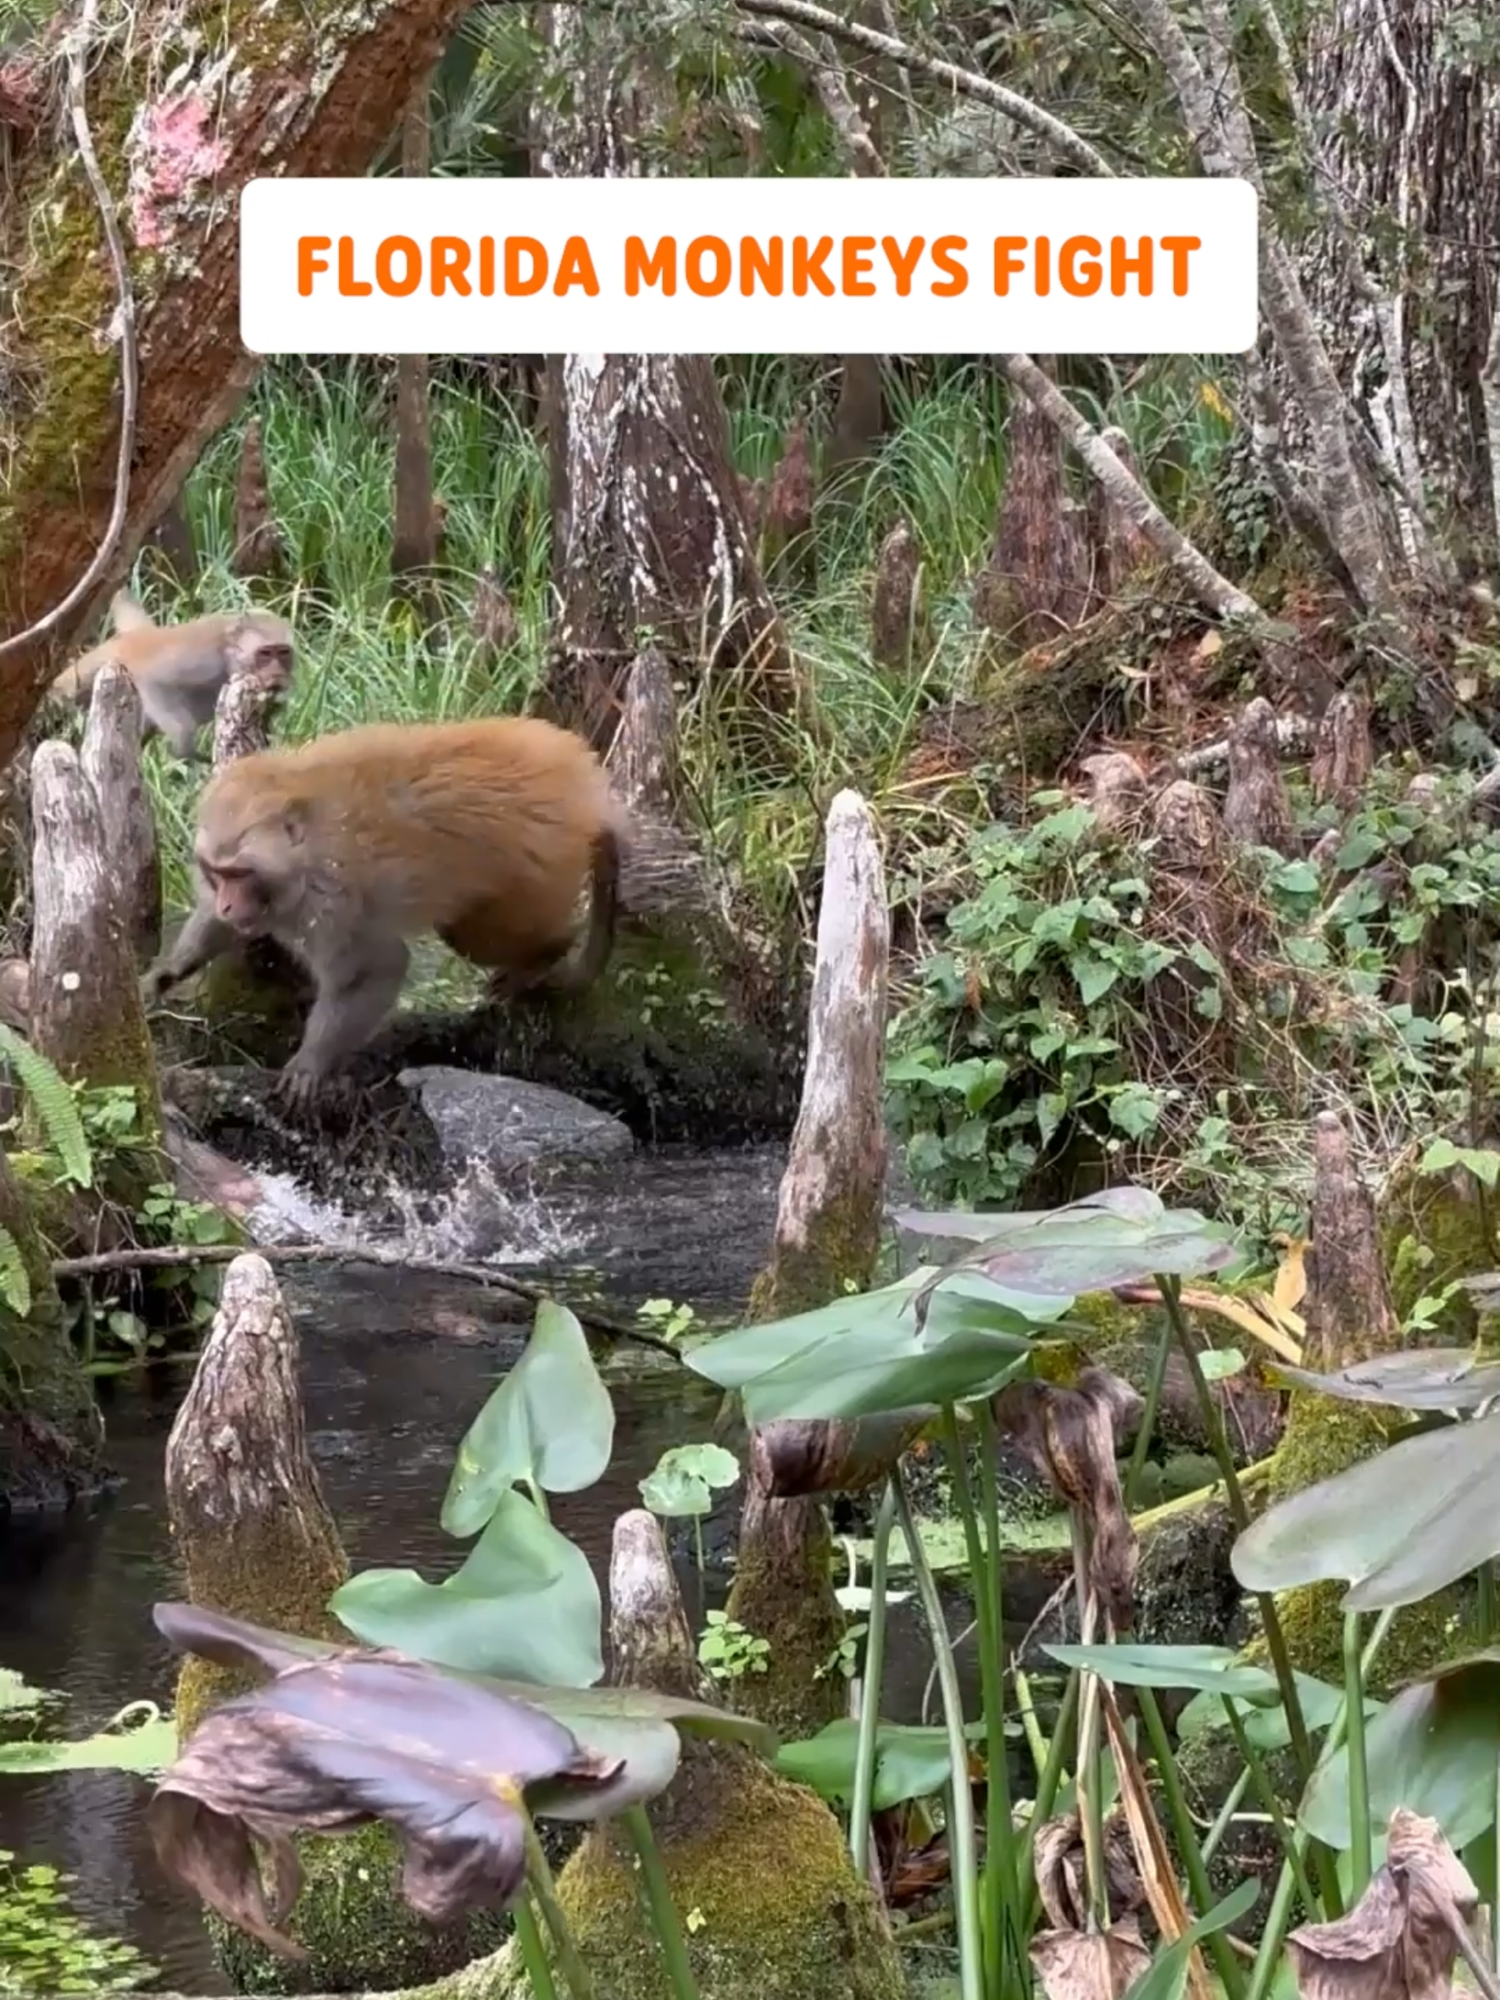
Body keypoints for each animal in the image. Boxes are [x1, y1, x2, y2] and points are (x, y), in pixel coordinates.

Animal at [50, 588, 296, 760]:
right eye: (265, 654)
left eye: (283, 653)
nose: (276, 673)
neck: (230, 654)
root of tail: (140, 634)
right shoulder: (204, 661)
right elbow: (157, 682)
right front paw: (185, 751)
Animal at [144, 716, 624, 1112]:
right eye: (216, 872)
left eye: (240, 873)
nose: (227, 901)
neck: (302, 851)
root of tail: (584, 779)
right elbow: (218, 929)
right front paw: (169, 970)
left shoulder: (332, 902)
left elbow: (377, 968)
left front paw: (312, 1061)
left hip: (542, 862)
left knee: (475, 936)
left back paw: (547, 954)